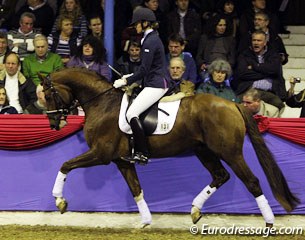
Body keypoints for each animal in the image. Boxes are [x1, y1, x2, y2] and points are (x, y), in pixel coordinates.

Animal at [39, 67, 298, 227]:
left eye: (48, 96)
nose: (53, 123)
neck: (102, 103)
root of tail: (232, 105)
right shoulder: (122, 161)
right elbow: (136, 189)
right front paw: (145, 221)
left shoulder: (100, 154)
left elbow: (65, 165)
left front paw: (59, 201)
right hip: (203, 151)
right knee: (220, 176)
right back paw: (195, 210)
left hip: (230, 153)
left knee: (251, 181)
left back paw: (269, 222)